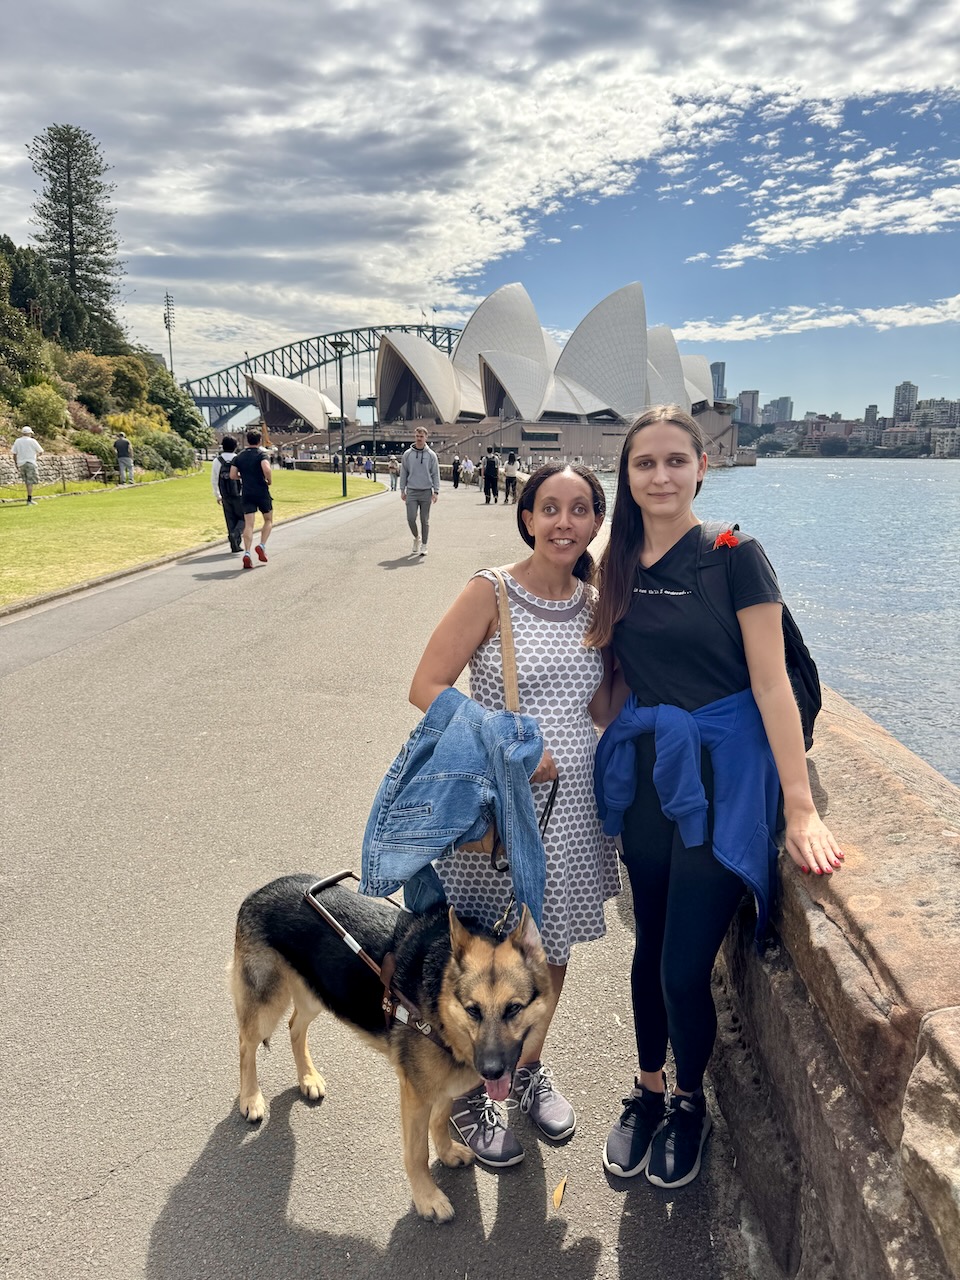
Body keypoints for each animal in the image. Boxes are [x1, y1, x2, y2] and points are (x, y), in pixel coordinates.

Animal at [227, 875, 552, 1223]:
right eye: (473, 1010)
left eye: (514, 1009)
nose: (490, 1071)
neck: (441, 1002)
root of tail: (262, 889)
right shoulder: (416, 1095)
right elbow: (417, 1153)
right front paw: (427, 1198)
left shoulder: (443, 1086)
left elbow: (440, 1121)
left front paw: (447, 1152)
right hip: (266, 1006)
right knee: (246, 1044)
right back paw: (251, 1098)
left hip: (318, 994)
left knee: (294, 1028)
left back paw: (308, 1078)